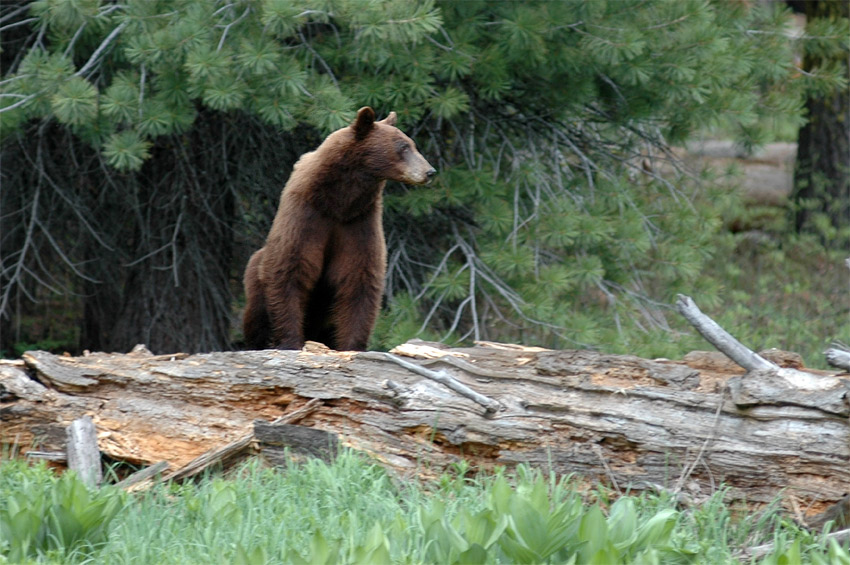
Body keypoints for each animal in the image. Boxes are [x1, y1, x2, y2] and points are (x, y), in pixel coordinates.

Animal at [242, 107, 434, 348]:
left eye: (412, 144)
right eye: (403, 147)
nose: (430, 171)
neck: (338, 202)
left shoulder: (358, 222)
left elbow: (359, 278)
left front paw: (352, 345)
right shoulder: (306, 217)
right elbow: (289, 268)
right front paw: (290, 341)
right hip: (255, 275)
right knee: (256, 315)